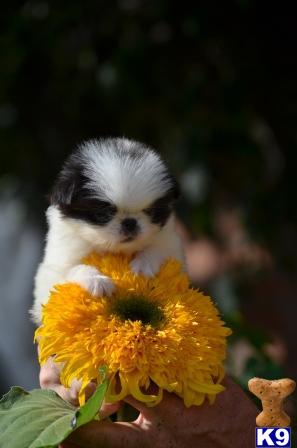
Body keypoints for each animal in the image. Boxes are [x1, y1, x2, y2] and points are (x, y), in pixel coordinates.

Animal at [31, 138, 184, 324]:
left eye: (151, 212)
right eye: (102, 214)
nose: (130, 223)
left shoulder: (172, 245)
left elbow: (157, 249)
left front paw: (143, 265)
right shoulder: (53, 271)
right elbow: (75, 268)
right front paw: (97, 281)